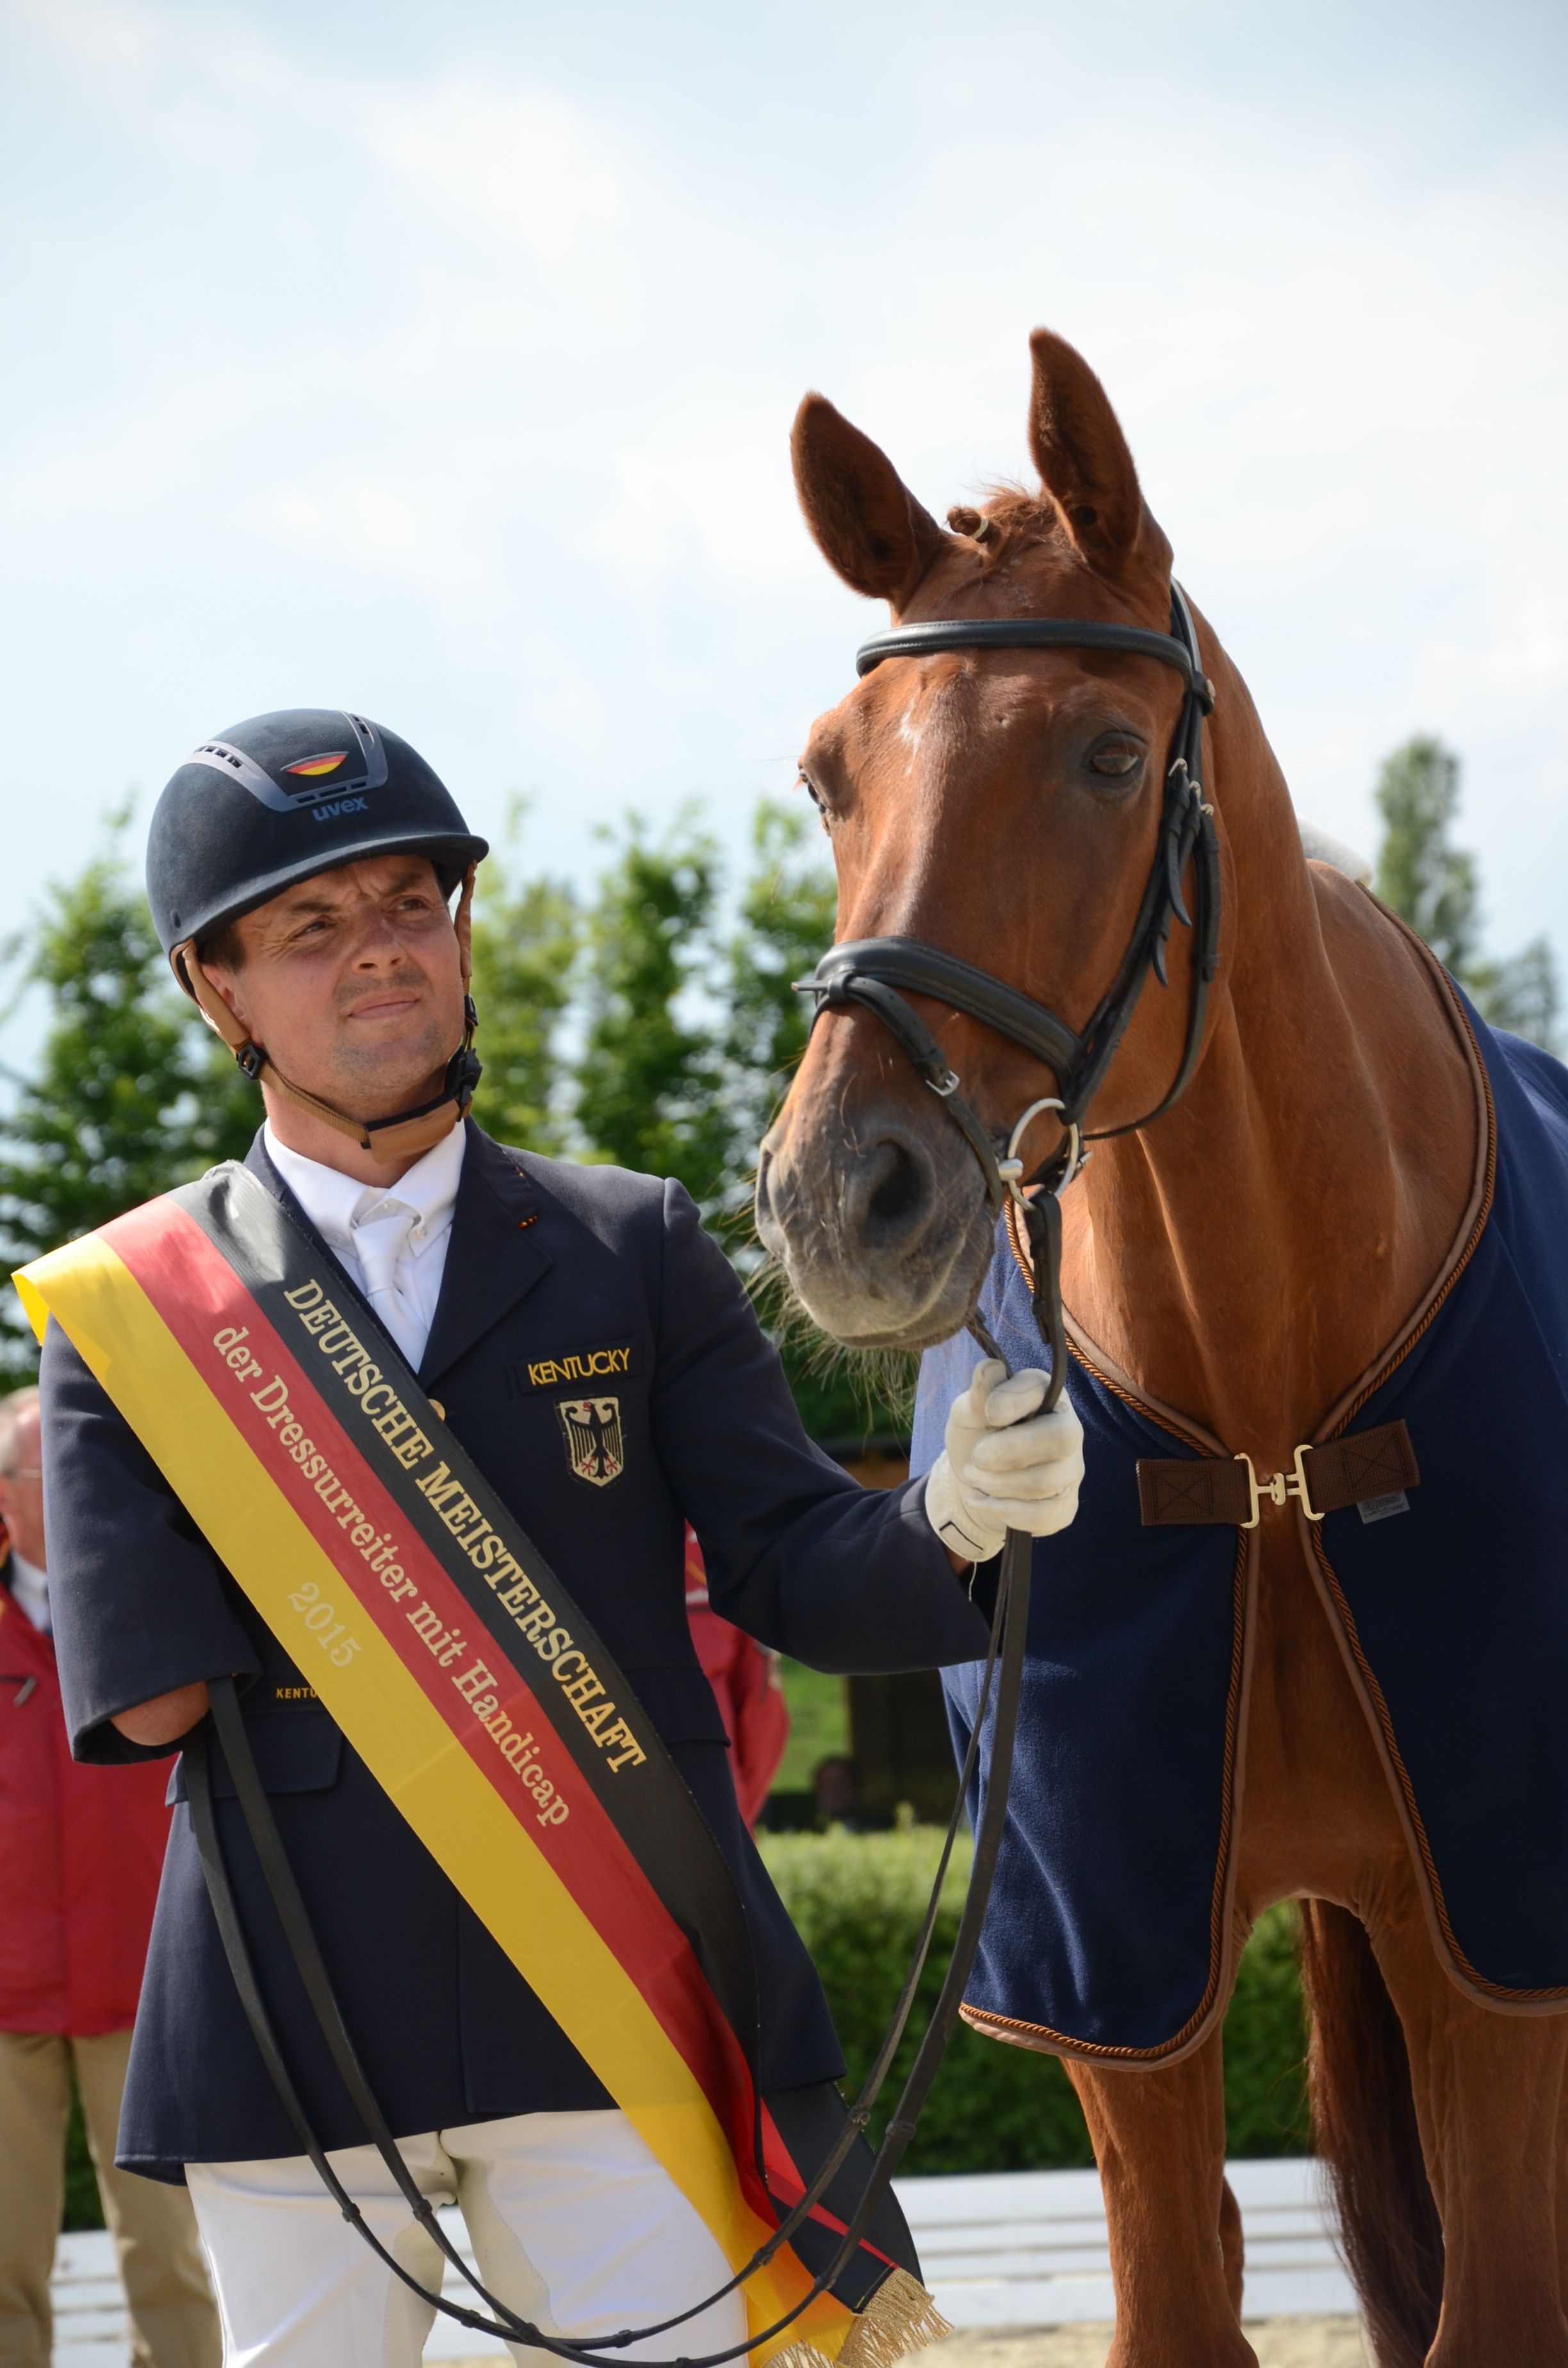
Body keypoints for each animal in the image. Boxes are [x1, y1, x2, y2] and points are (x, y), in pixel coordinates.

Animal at [758, 334, 1568, 2368]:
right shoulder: (1115, 1985)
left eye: (1109, 755)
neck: (1269, 1433)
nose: (839, 1199)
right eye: (826, 777)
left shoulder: (1496, 1950)